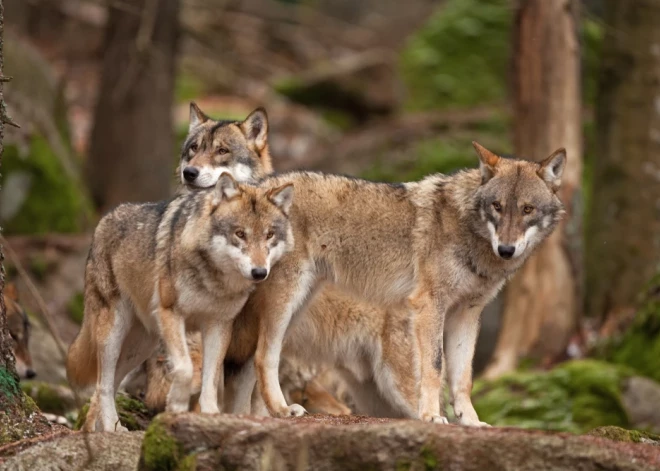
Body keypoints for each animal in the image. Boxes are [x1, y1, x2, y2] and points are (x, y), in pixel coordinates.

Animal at [66, 173, 294, 432]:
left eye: (269, 235)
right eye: (240, 234)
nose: (259, 272)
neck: (214, 281)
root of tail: (104, 219)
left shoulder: (219, 325)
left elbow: (210, 380)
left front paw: (211, 415)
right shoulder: (171, 314)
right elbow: (185, 369)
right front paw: (175, 404)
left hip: (141, 346)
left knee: (107, 384)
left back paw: (98, 429)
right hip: (113, 335)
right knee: (103, 384)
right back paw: (111, 428)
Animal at [237, 141, 568, 424]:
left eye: (527, 209)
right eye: (497, 206)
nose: (507, 249)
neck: (469, 232)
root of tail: (251, 188)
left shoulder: (467, 313)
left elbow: (463, 379)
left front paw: (471, 423)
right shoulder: (429, 305)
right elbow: (434, 367)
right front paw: (432, 416)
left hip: (299, 313)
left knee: (256, 360)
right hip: (287, 303)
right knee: (263, 357)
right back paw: (279, 410)